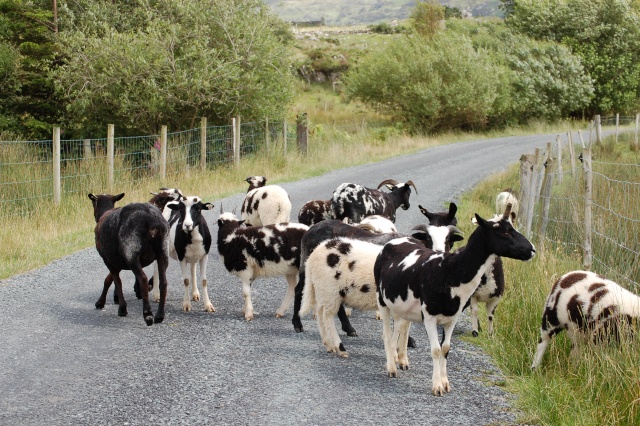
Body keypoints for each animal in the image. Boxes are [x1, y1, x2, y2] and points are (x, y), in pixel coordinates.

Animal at [90, 193, 171, 326]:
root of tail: (152, 222)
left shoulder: (109, 260)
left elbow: (115, 281)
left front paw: (120, 308)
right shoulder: (118, 261)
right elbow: (111, 279)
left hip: (131, 251)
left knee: (143, 279)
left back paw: (148, 315)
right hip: (162, 252)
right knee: (163, 282)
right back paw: (159, 315)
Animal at [376, 206, 536, 396]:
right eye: (504, 231)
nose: (532, 250)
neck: (450, 270)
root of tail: (395, 241)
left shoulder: (452, 318)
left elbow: (445, 348)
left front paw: (445, 383)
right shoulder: (429, 317)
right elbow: (436, 350)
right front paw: (437, 386)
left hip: (401, 305)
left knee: (398, 330)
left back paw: (396, 360)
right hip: (382, 300)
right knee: (387, 334)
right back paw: (391, 368)